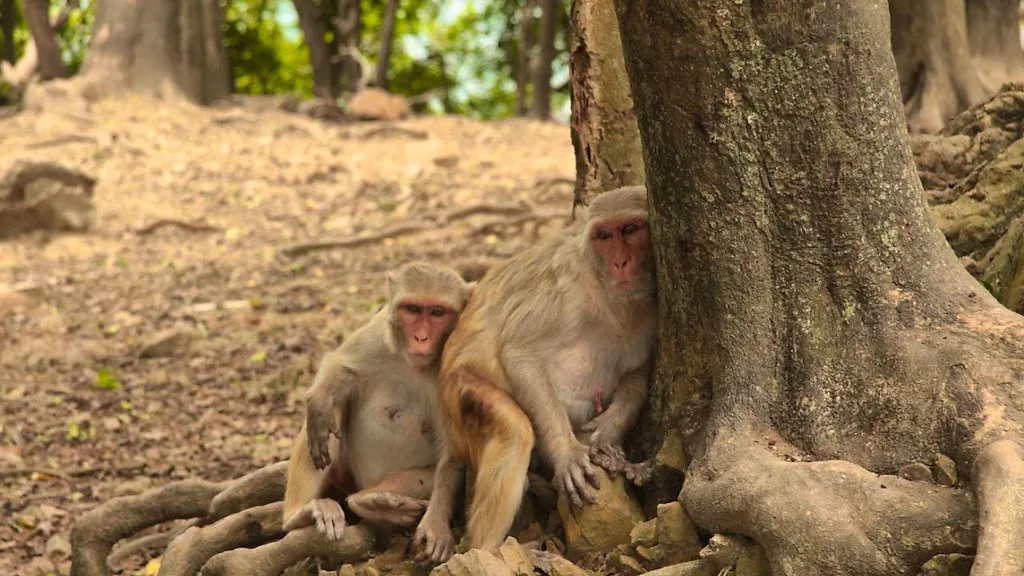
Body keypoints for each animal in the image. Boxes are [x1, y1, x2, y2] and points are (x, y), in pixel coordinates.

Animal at [282, 262, 473, 540]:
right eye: (412, 309)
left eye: (437, 312)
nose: (421, 338)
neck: (414, 365)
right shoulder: (377, 331)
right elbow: (338, 363)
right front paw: (318, 402)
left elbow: (453, 450)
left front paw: (435, 523)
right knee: (330, 418)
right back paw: (298, 514)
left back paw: (372, 502)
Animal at [413, 186, 657, 563]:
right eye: (604, 235)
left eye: (630, 230)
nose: (621, 262)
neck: (607, 290)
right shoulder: (566, 291)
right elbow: (520, 353)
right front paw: (568, 453)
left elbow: (637, 371)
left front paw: (609, 430)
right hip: (458, 393)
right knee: (514, 431)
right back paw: (491, 550)